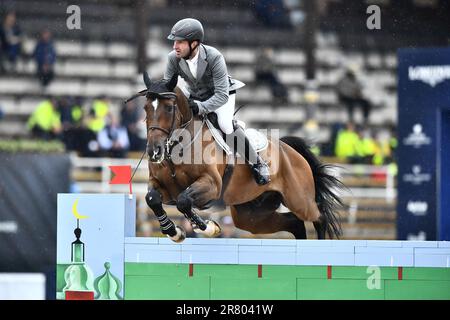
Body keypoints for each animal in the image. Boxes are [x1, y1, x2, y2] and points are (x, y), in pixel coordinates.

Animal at [126, 73, 344, 242]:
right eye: (146, 108)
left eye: (169, 108)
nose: (154, 151)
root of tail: (291, 151)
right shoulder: (162, 185)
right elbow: (153, 198)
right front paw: (174, 232)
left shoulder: (211, 184)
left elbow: (184, 201)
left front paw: (208, 228)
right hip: (251, 215)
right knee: (294, 223)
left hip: (299, 199)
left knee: (319, 218)